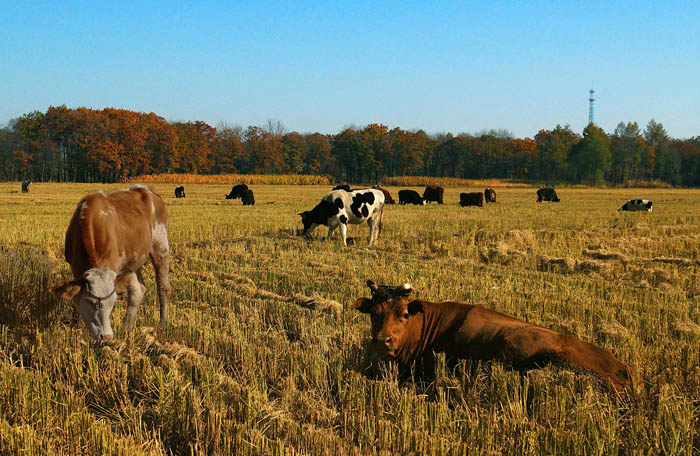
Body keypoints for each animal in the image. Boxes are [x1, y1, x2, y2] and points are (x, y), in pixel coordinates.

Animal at [51, 184, 171, 338]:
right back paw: (127, 329)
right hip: (132, 260)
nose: (106, 336)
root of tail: (146, 189)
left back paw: (161, 327)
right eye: (90, 302)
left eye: (113, 303)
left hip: (161, 246)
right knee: (138, 289)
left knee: (163, 288)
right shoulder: (75, 267)